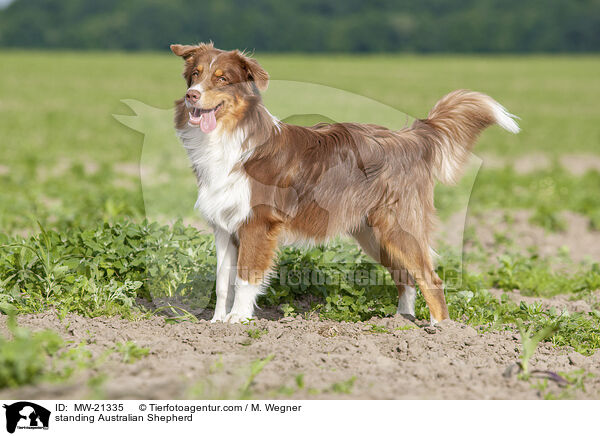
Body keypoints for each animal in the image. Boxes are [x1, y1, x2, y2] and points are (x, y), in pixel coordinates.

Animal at [171, 43, 516, 324]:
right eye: (195, 75)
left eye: (222, 79)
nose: (192, 95)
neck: (227, 137)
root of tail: (410, 137)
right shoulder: (224, 227)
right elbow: (221, 282)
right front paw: (217, 322)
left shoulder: (258, 224)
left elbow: (245, 279)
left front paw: (237, 321)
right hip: (373, 234)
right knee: (405, 277)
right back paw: (401, 322)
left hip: (398, 227)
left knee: (431, 279)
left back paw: (442, 331)